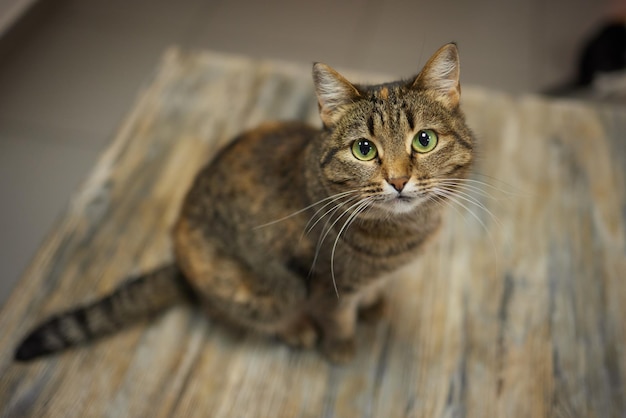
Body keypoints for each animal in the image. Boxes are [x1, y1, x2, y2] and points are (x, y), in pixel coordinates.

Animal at [14, 42, 472, 362]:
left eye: (424, 140)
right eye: (364, 149)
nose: (398, 180)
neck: (405, 231)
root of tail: (180, 265)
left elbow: (374, 290)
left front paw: (375, 304)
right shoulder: (325, 281)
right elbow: (337, 316)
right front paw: (340, 347)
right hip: (249, 286)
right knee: (241, 311)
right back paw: (294, 328)